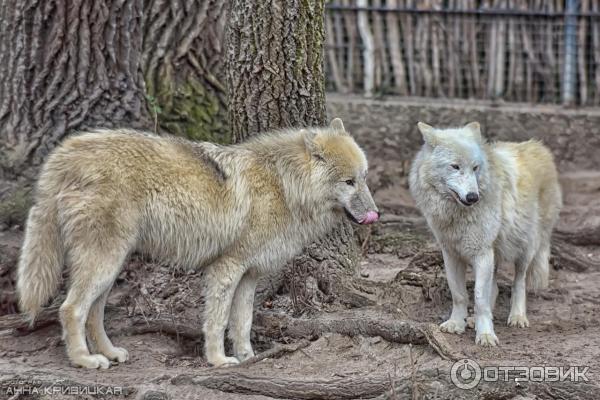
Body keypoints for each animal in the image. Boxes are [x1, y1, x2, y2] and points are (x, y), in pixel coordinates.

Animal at [408, 122, 564, 346]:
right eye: (455, 166)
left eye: (475, 168)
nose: (473, 197)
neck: (456, 215)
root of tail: (538, 146)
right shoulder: (451, 254)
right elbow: (460, 294)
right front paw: (457, 323)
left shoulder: (482, 253)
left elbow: (480, 297)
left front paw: (486, 334)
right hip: (495, 252)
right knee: (495, 286)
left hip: (525, 248)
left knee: (519, 283)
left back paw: (517, 316)